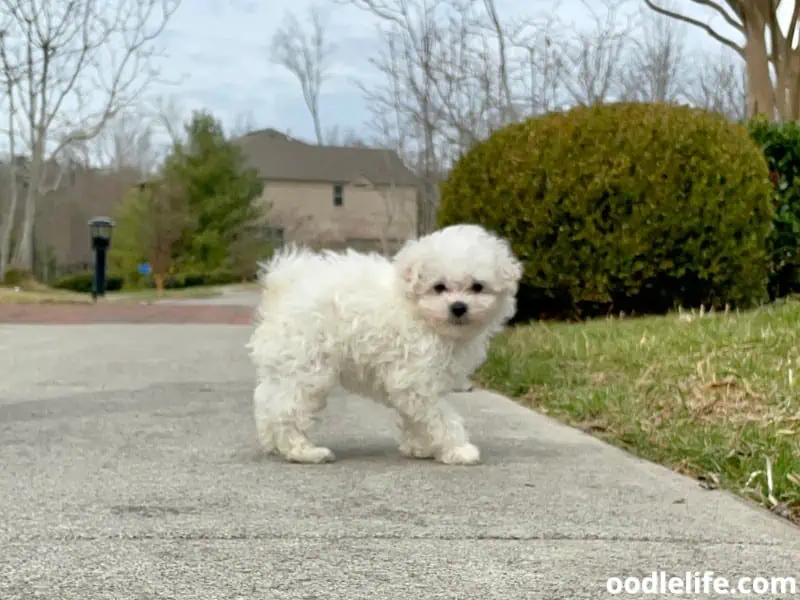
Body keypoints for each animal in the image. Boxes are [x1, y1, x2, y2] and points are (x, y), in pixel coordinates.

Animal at [247, 223, 528, 466]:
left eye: (477, 287)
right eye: (439, 287)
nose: (459, 307)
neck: (420, 313)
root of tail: (283, 286)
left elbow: (418, 415)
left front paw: (420, 447)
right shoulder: (415, 378)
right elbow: (440, 415)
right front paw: (457, 448)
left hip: (287, 365)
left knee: (268, 401)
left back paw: (274, 444)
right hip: (308, 366)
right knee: (287, 410)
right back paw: (303, 451)